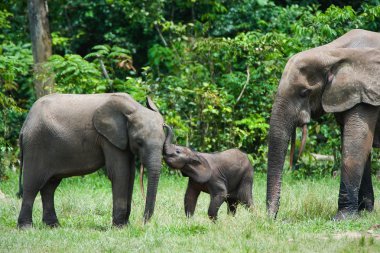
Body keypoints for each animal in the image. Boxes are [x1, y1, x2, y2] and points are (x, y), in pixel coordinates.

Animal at [16, 93, 165, 227]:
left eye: (164, 142)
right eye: (139, 142)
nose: (144, 222)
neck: (134, 108)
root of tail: (24, 126)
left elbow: (130, 175)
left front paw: (125, 225)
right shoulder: (108, 138)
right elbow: (120, 173)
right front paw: (120, 227)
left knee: (49, 187)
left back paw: (53, 225)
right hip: (36, 144)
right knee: (32, 185)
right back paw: (26, 227)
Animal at [266, 29, 380, 219]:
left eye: (304, 92)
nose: (272, 219)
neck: (331, 52)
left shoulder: (366, 90)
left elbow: (355, 144)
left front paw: (342, 218)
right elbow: (362, 147)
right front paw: (365, 213)